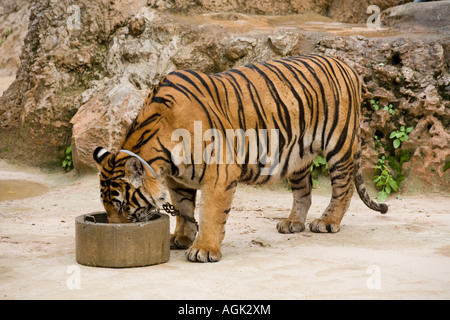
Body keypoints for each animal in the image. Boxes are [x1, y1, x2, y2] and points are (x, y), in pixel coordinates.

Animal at [92, 54, 386, 262]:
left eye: (122, 205)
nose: (114, 231)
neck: (165, 158)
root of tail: (345, 65)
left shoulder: (220, 172)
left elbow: (210, 212)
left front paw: (203, 249)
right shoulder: (179, 181)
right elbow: (184, 210)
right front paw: (182, 237)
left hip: (340, 144)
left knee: (343, 188)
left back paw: (326, 222)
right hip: (297, 155)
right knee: (304, 191)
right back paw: (292, 222)